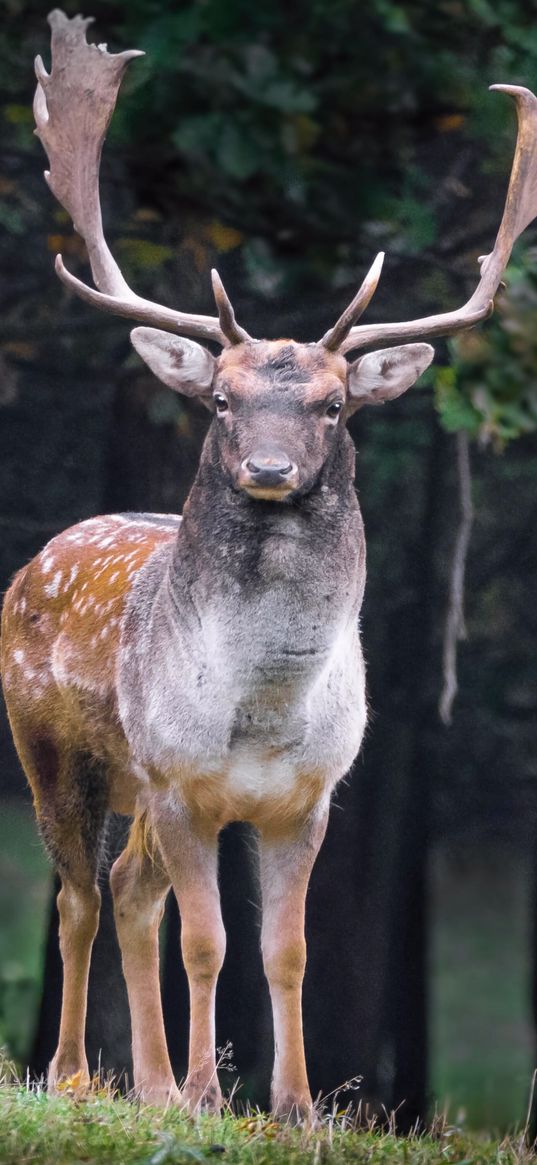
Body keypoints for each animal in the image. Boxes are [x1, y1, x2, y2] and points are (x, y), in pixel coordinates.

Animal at [1, 6, 535, 1118]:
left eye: (332, 404)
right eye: (220, 399)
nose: (272, 469)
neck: (263, 711)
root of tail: (36, 559)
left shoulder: (310, 797)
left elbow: (285, 951)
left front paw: (290, 1101)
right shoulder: (179, 780)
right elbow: (207, 943)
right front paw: (213, 1092)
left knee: (127, 891)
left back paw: (150, 1084)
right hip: (55, 751)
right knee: (78, 895)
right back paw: (76, 1073)